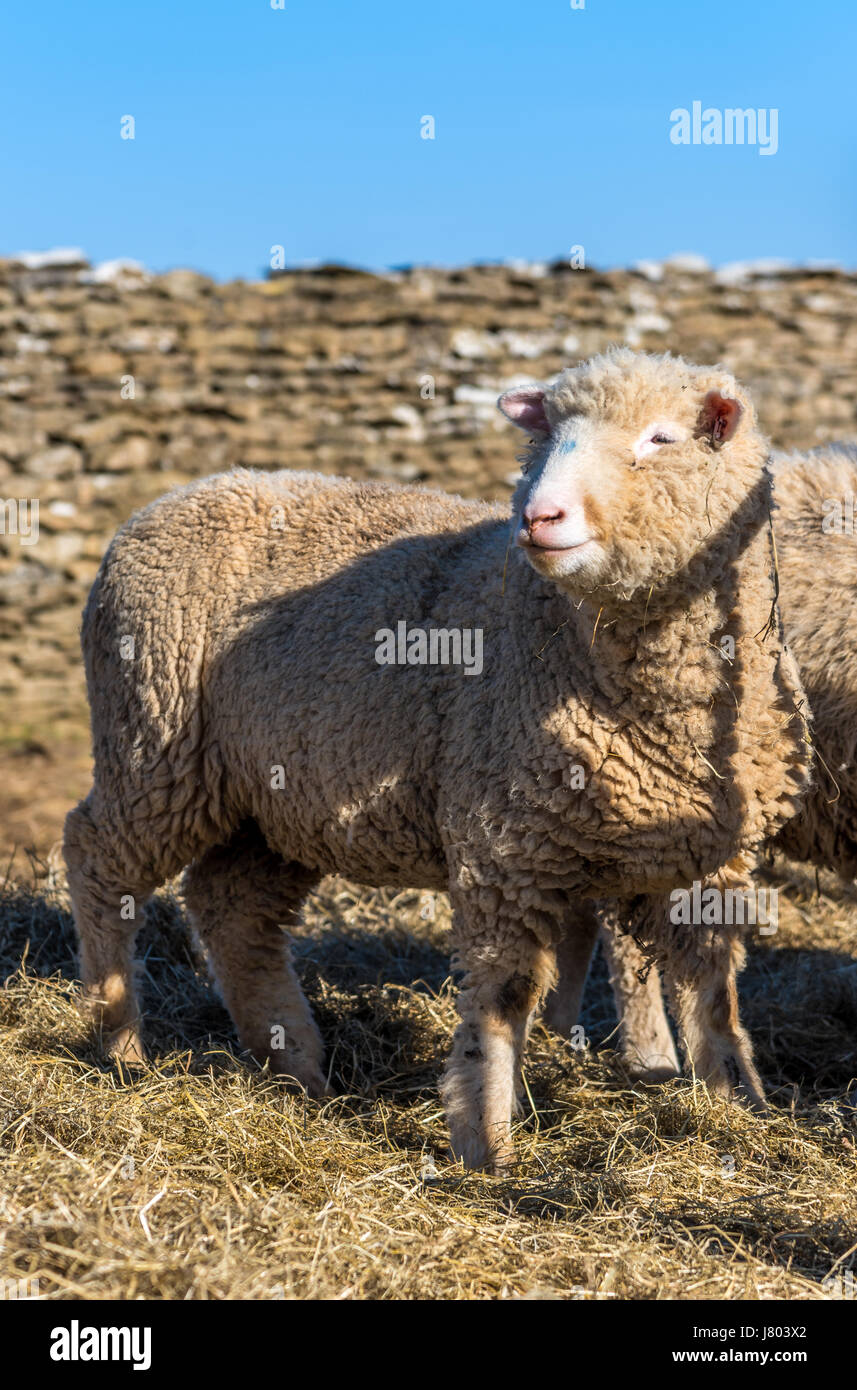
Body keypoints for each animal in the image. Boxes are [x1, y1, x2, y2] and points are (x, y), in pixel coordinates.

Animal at [61, 341, 811, 1167]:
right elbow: (506, 996)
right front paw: (486, 1143)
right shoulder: (502, 842)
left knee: (232, 909)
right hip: (153, 744)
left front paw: (739, 1106)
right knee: (99, 859)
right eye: (543, 438)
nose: (539, 516)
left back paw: (298, 1068)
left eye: (660, 438)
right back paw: (118, 1040)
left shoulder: (710, 856)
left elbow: (712, 993)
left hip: (276, 799)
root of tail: (163, 503)